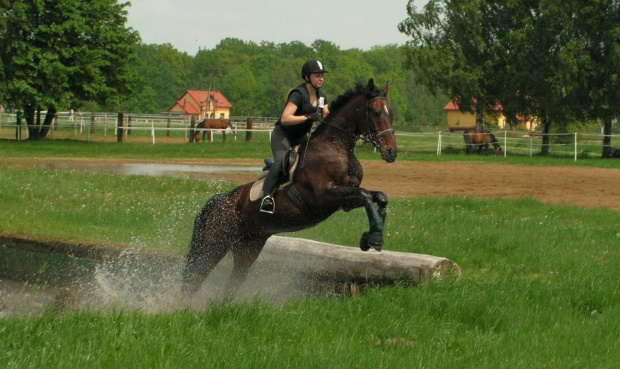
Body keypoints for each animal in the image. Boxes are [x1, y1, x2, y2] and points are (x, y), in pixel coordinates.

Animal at [182, 79, 400, 298]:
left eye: (391, 114)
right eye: (376, 113)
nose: (392, 152)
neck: (336, 147)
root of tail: (221, 200)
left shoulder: (345, 199)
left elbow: (379, 196)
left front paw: (372, 235)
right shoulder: (324, 196)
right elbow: (365, 195)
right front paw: (374, 238)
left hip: (249, 245)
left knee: (234, 280)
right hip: (216, 242)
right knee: (196, 276)